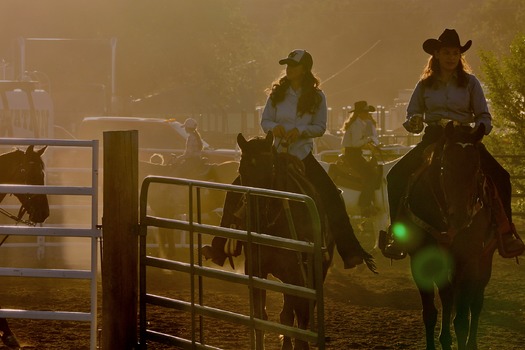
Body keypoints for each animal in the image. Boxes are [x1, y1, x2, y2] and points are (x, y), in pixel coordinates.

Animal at [227, 132, 334, 350]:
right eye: (242, 169)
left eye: (271, 168)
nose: (256, 212)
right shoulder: (255, 269)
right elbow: (261, 315)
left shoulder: (296, 273)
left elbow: (295, 313)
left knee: (301, 312)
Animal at [392, 121, 496, 348]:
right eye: (445, 166)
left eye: (476, 167)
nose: (461, 217)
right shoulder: (421, 258)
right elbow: (430, 312)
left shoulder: (469, 258)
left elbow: (462, 317)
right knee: (449, 297)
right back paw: (445, 339)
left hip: (485, 259)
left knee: (475, 303)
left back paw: (470, 342)